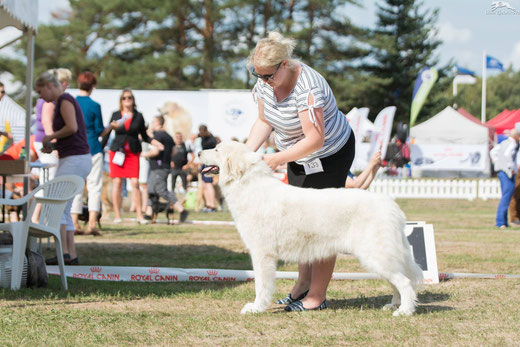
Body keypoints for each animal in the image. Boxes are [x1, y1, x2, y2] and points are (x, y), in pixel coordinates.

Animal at [199, 141, 422, 316]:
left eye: (217, 149)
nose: (199, 152)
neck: (248, 186)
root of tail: (392, 206)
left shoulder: (262, 253)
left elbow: (261, 285)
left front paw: (256, 308)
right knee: (398, 280)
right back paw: (393, 304)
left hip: (375, 255)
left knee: (404, 282)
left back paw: (404, 310)